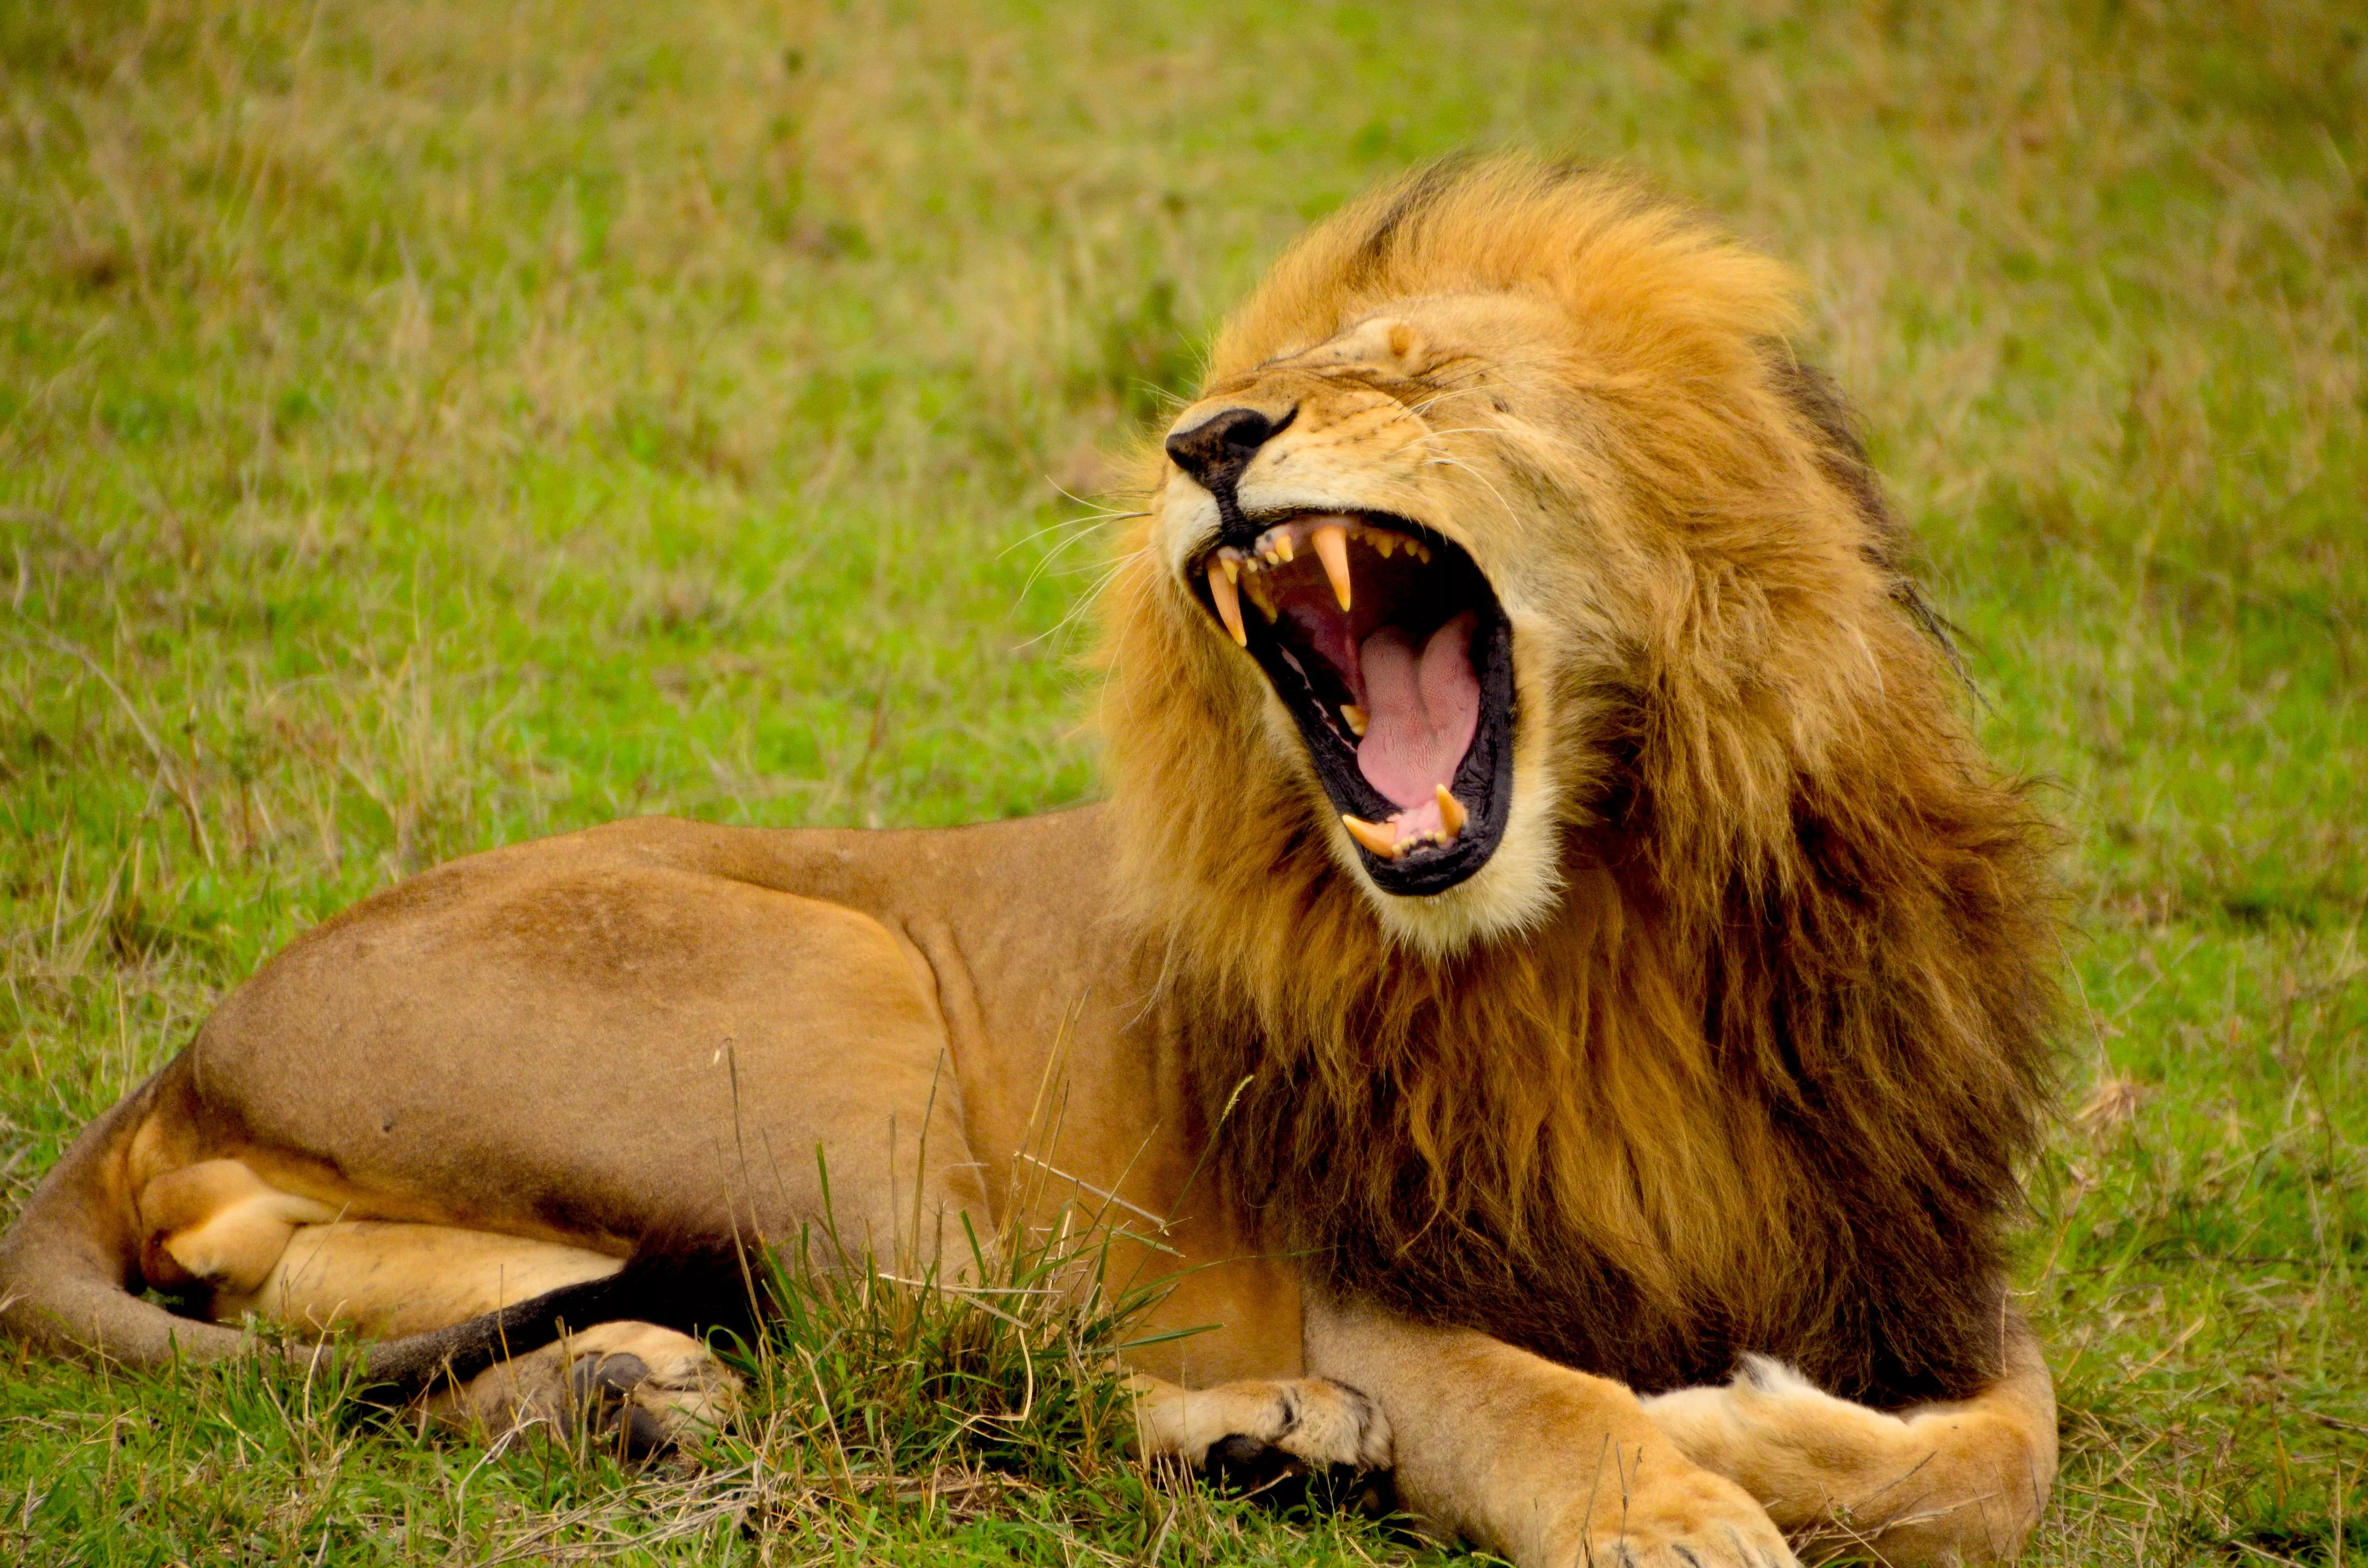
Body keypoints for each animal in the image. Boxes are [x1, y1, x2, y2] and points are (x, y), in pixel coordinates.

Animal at [0, 157, 2061, 1567]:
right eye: (1259, 382)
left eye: (1421, 378)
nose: (1207, 438)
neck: (1608, 923)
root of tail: (196, 1038)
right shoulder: (1376, 1279)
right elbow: (1546, 1401)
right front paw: (1676, 1493)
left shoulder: (1913, 1247)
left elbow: (2001, 1454)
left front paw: (1744, 1420)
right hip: (832, 1003)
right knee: (946, 1347)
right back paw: (1257, 1435)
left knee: (317, 1285)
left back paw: (626, 1389)